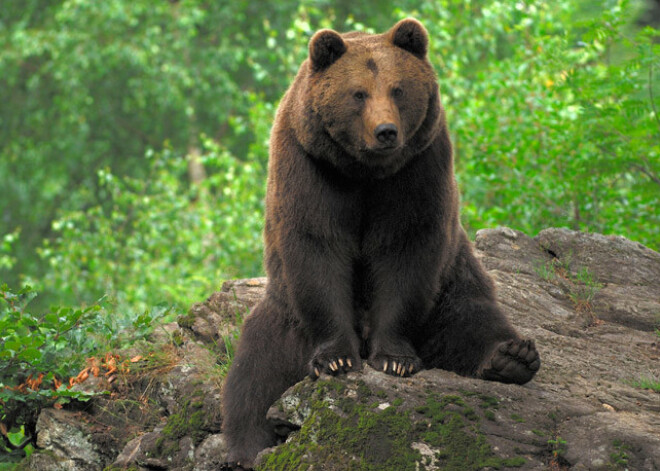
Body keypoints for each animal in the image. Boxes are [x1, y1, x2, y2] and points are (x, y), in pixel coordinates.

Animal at [219, 16, 540, 470]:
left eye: (398, 89)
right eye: (358, 93)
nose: (386, 131)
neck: (364, 172)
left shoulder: (418, 169)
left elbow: (406, 253)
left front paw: (394, 359)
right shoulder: (311, 167)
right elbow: (317, 248)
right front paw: (337, 358)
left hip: (451, 287)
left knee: (473, 318)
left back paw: (512, 357)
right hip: (284, 315)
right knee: (255, 373)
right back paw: (249, 443)